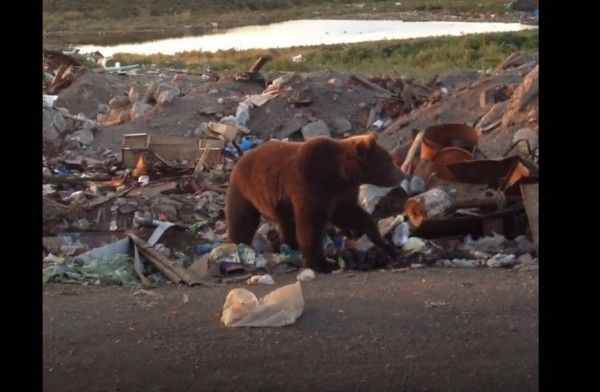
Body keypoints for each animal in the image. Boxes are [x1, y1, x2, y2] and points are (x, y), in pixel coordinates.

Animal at [225, 132, 404, 272]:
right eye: (388, 160)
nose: (402, 174)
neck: (341, 173)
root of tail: (241, 157)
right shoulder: (310, 183)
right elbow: (310, 223)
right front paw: (321, 264)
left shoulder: (340, 193)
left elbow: (349, 214)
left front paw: (385, 244)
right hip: (244, 191)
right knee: (242, 220)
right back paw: (238, 247)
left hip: (280, 203)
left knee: (287, 223)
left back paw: (291, 247)